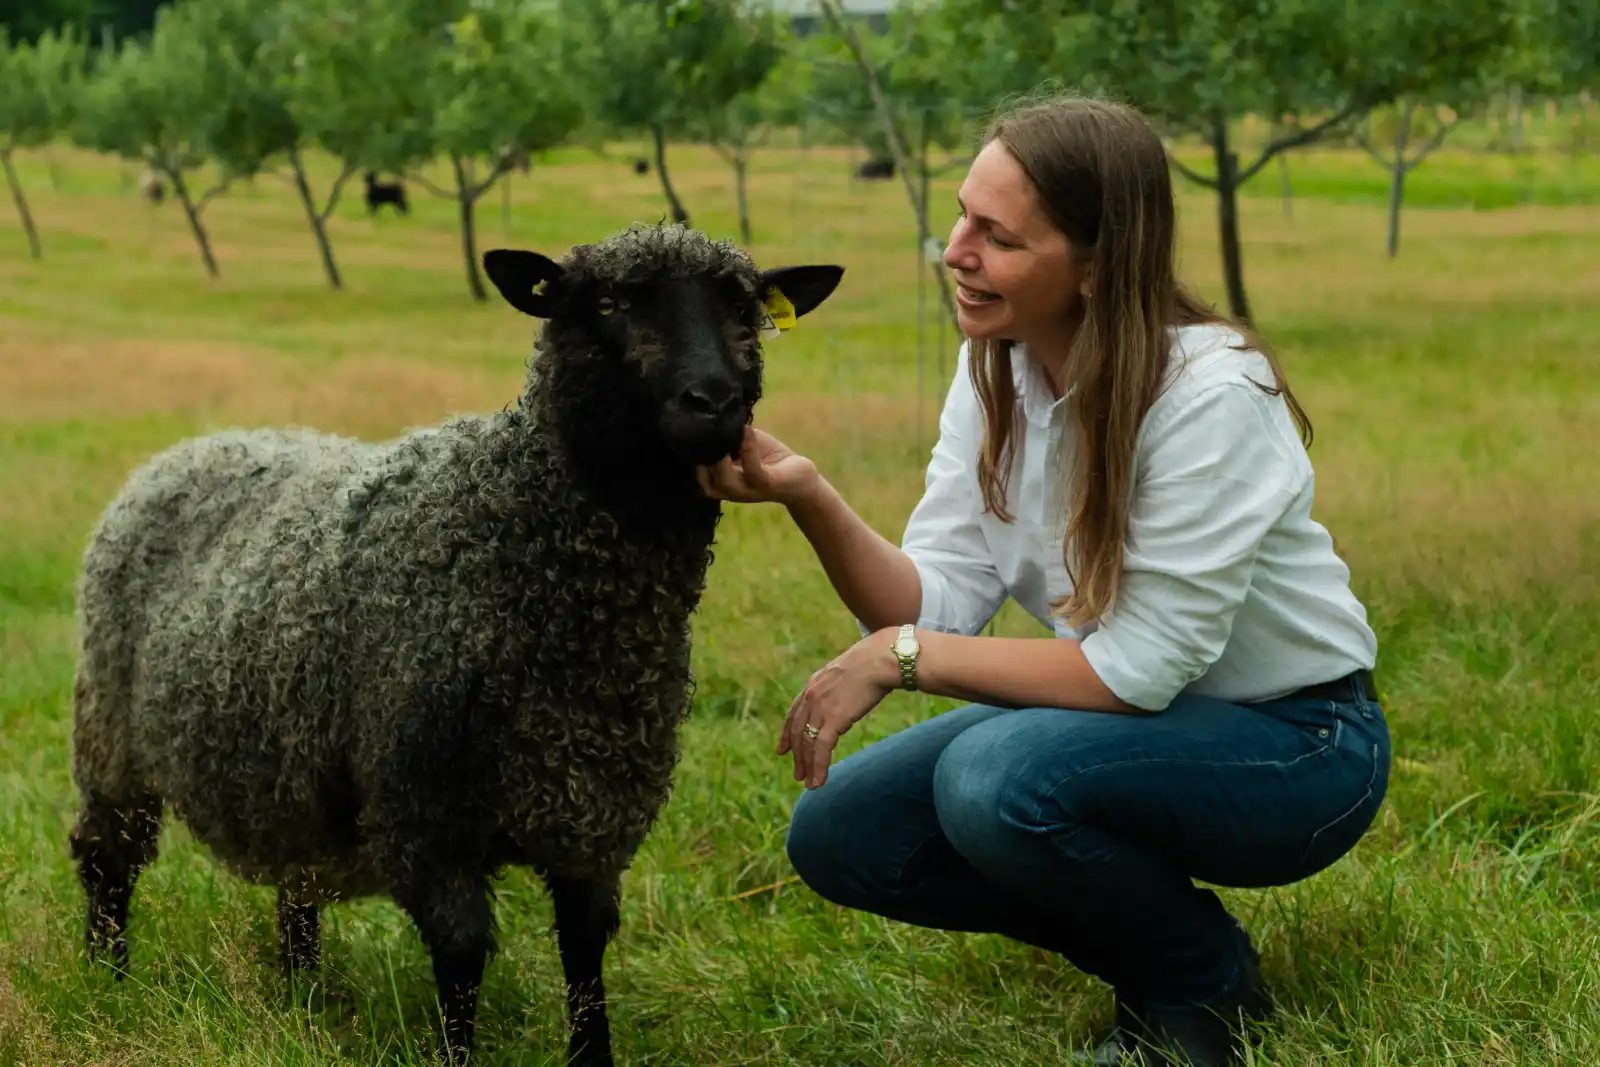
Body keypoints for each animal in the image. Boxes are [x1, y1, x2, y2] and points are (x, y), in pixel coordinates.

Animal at [69, 223, 843, 1065]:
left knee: (295, 880)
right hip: (111, 734)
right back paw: (108, 984)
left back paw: (301, 994)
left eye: (745, 311)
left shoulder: (595, 810)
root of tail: (189, 451)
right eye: (606, 304)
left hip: (289, 760)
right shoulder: (427, 810)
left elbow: (585, 952)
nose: (715, 403)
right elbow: (463, 954)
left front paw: (592, 1055)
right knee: (106, 859)